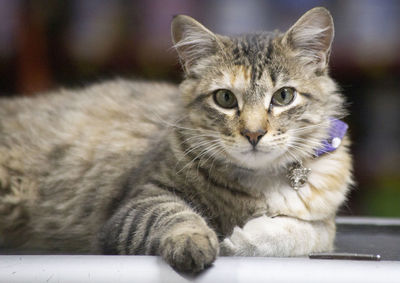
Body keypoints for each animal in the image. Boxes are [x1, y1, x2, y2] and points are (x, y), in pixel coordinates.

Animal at [0, 6, 352, 272]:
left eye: (283, 96)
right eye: (225, 98)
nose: (253, 133)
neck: (260, 179)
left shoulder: (324, 221)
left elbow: (310, 233)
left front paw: (243, 240)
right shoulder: (139, 202)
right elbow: (176, 217)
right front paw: (196, 242)